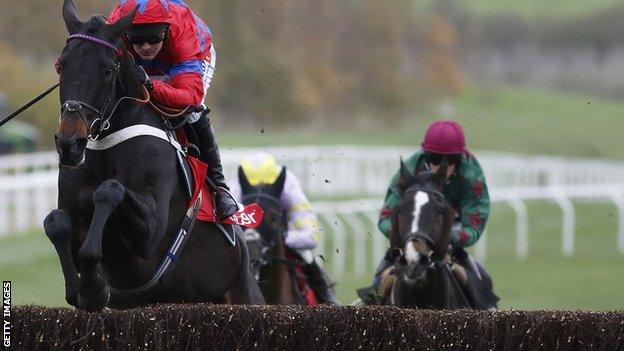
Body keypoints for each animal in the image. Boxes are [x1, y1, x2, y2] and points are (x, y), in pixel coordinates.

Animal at [43, 1, 264, 312]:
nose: (69, 143)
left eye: (107, 71)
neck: (109, 140)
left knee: (193, 108)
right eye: (62, 66)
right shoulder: (72, 207)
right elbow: (56, 222)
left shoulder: (149, 233)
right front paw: (84, 288)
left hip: (243, 294)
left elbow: (109, 189)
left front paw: (93, 287)